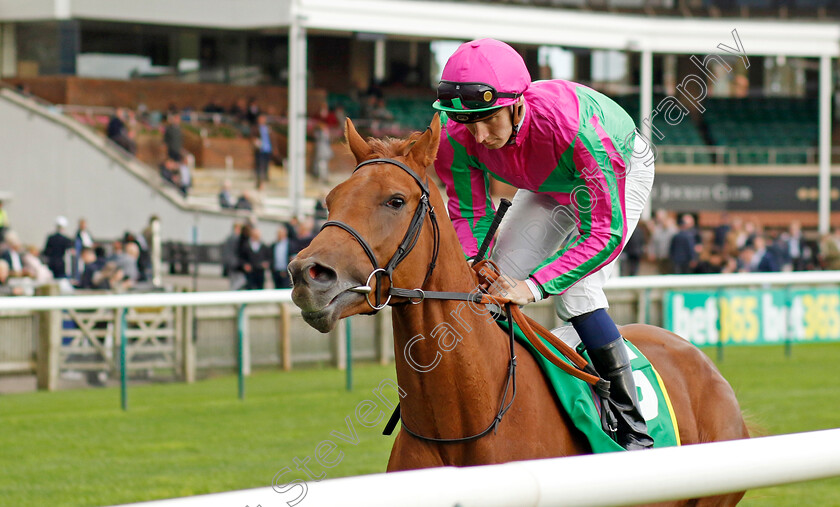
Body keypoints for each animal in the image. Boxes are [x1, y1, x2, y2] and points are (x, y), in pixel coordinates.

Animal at [290, 113, 748, 506]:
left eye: (396, 200)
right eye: (331, 199)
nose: (306, 274)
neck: (462, 425)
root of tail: (699, 360)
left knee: (583, 295)